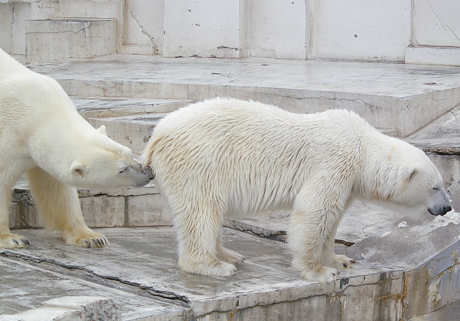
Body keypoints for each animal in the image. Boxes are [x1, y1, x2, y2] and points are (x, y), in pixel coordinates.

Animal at [0, 48, 154, 248]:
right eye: (122, 170)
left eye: (129, 153)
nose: (148, 173)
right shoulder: (8, 136)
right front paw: (11, 239)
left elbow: (57, 190)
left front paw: (91, 237)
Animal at [142, 97, 452, 280]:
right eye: (435, 186)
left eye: (443, 184)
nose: (448, 207)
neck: (361, 143)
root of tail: (155, 136)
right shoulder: (335, 161)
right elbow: (315, 210)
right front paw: (319, 271)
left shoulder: (348, 181)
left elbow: (333, 218)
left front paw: (340, 260)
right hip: (200, 162)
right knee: (201, 209)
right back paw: (214, 265)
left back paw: (230, 255)